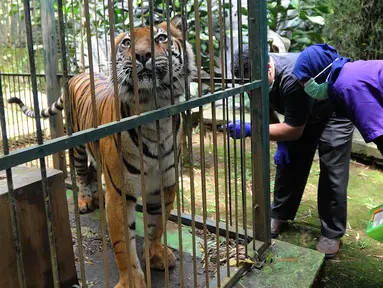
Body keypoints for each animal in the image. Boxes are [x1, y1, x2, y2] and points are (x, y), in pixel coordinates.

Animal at [7, 15, 196, 288]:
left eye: (161, 38)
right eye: (127, 42)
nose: (142, 55)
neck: (154, 114)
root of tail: (77, 74)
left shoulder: (165, 184)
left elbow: (157, 224)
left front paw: (156, 255)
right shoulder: (120, 193)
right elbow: (123, 243)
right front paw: (132, 281)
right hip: (76, 148)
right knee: (82, 175)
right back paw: (86, 200)